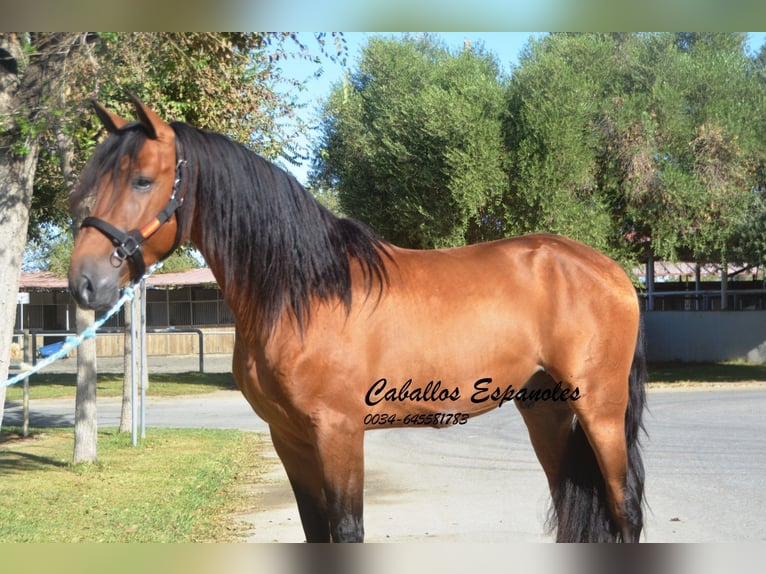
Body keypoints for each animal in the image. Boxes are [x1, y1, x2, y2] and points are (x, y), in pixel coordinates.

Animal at [67, 94, 648, 544]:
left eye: (143, 180)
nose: (84, 282)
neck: (303, 292)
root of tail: (611, 271)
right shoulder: (288, 436)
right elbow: (314, 530)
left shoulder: (339, 432)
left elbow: (347, 531)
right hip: (545, 409)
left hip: (599, 411)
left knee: (625, 511)